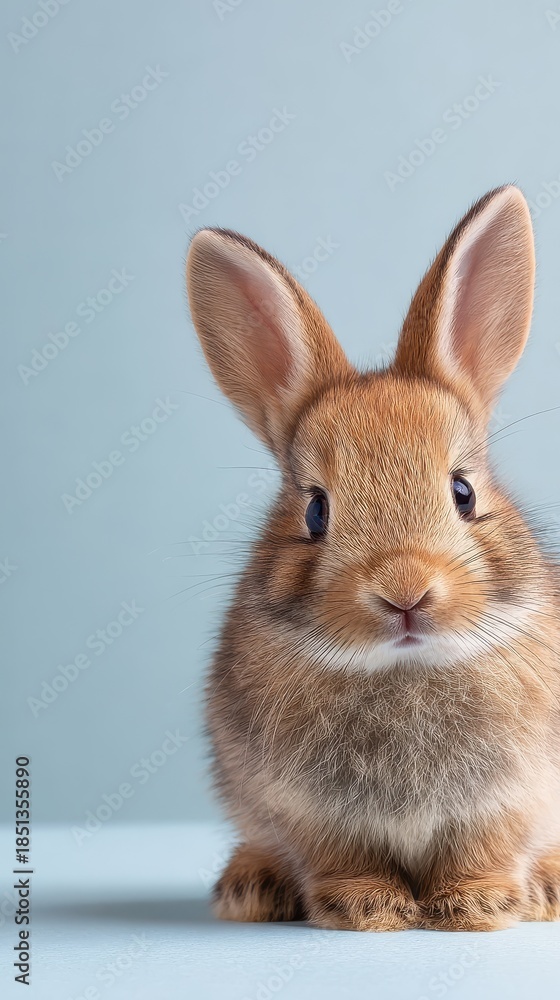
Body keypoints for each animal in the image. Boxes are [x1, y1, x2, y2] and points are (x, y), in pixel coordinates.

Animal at [186, 185, 560, 931]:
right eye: (315, 511)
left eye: (463, 492)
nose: (404, 590)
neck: (402, 667)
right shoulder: (306, 812)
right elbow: (342, 858)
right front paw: (366, 908)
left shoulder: (510, 799)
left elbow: (484, 851)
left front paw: (478, 905)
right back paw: (251, 887)